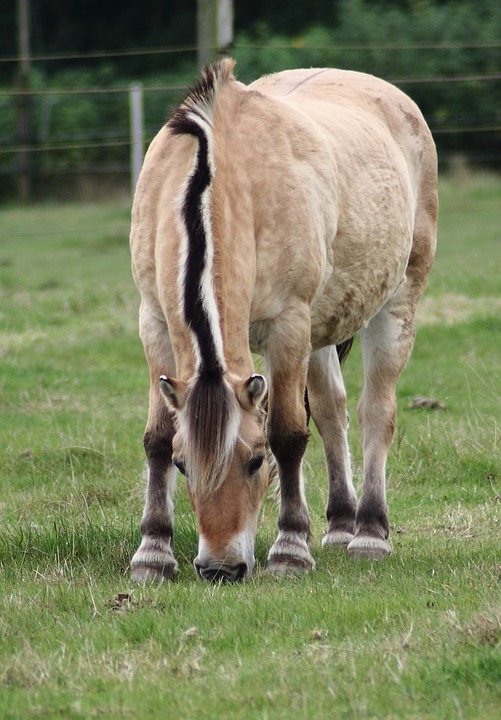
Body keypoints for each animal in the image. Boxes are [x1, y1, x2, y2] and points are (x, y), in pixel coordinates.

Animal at [129, 59, 438, 584]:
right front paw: (153, 553)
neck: (219, 172)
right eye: (184, 466)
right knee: (333, 412)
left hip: (396, 304)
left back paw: (369, 533)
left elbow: (289, 434)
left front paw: (291, 548)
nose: (221, 568)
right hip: (321, 329)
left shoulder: (288, 323)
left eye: (256, 461)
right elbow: (157, 436)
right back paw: (340, 525)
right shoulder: (153, 320)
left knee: (376, 412)